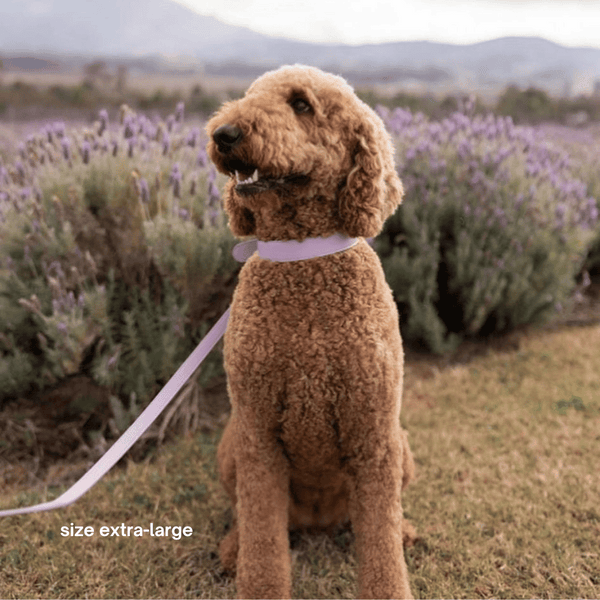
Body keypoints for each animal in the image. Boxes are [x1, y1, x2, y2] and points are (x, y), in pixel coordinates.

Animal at [205, 63, 412, 596]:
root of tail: (319, 519)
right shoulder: (258, 440)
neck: (303, 257)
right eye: (250, 95)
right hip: (231, 448)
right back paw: (233, 549)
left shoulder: (374, 437)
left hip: (400, 446)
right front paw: (255, 575)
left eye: (301, 104)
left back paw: (404, 530)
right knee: (242, 515)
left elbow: (379, 543)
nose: (223, 133)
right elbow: (263, 541)